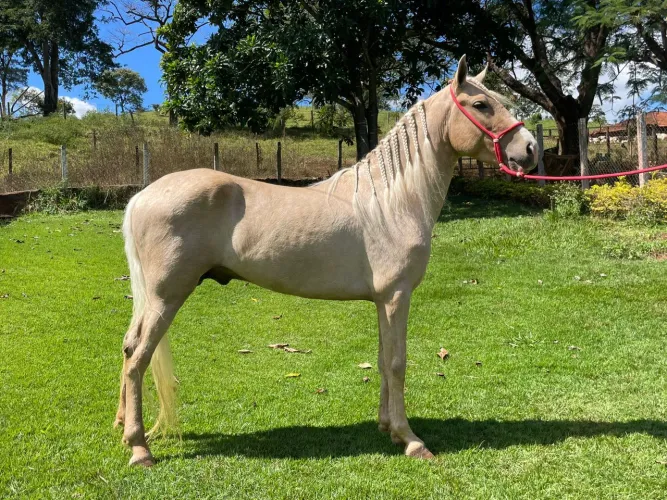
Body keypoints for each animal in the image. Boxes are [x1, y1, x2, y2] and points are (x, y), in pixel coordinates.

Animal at [114, 55, 538, 466]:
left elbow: (382, 360)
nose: (531, 148)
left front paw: (387, 428)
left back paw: (123, 427)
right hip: (166, 298)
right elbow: (397, 363)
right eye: (481, 105)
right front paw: (411, 440)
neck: (392, 200)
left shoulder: (382, 301)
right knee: (138, 358)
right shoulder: (397, 296)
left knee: (128, 347)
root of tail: (142, 196)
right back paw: (139, 449)